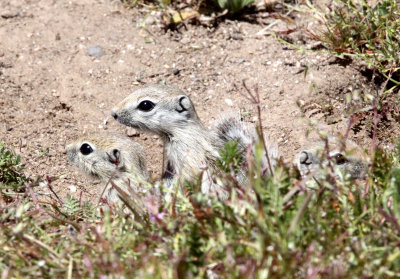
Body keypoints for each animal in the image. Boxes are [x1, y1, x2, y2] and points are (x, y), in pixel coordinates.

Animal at [109, 84, 278, 198]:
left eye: (145, 105)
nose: (113, 113)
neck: (181, 131)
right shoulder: (171, 163)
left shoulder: (187, 156)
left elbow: (184, 177)